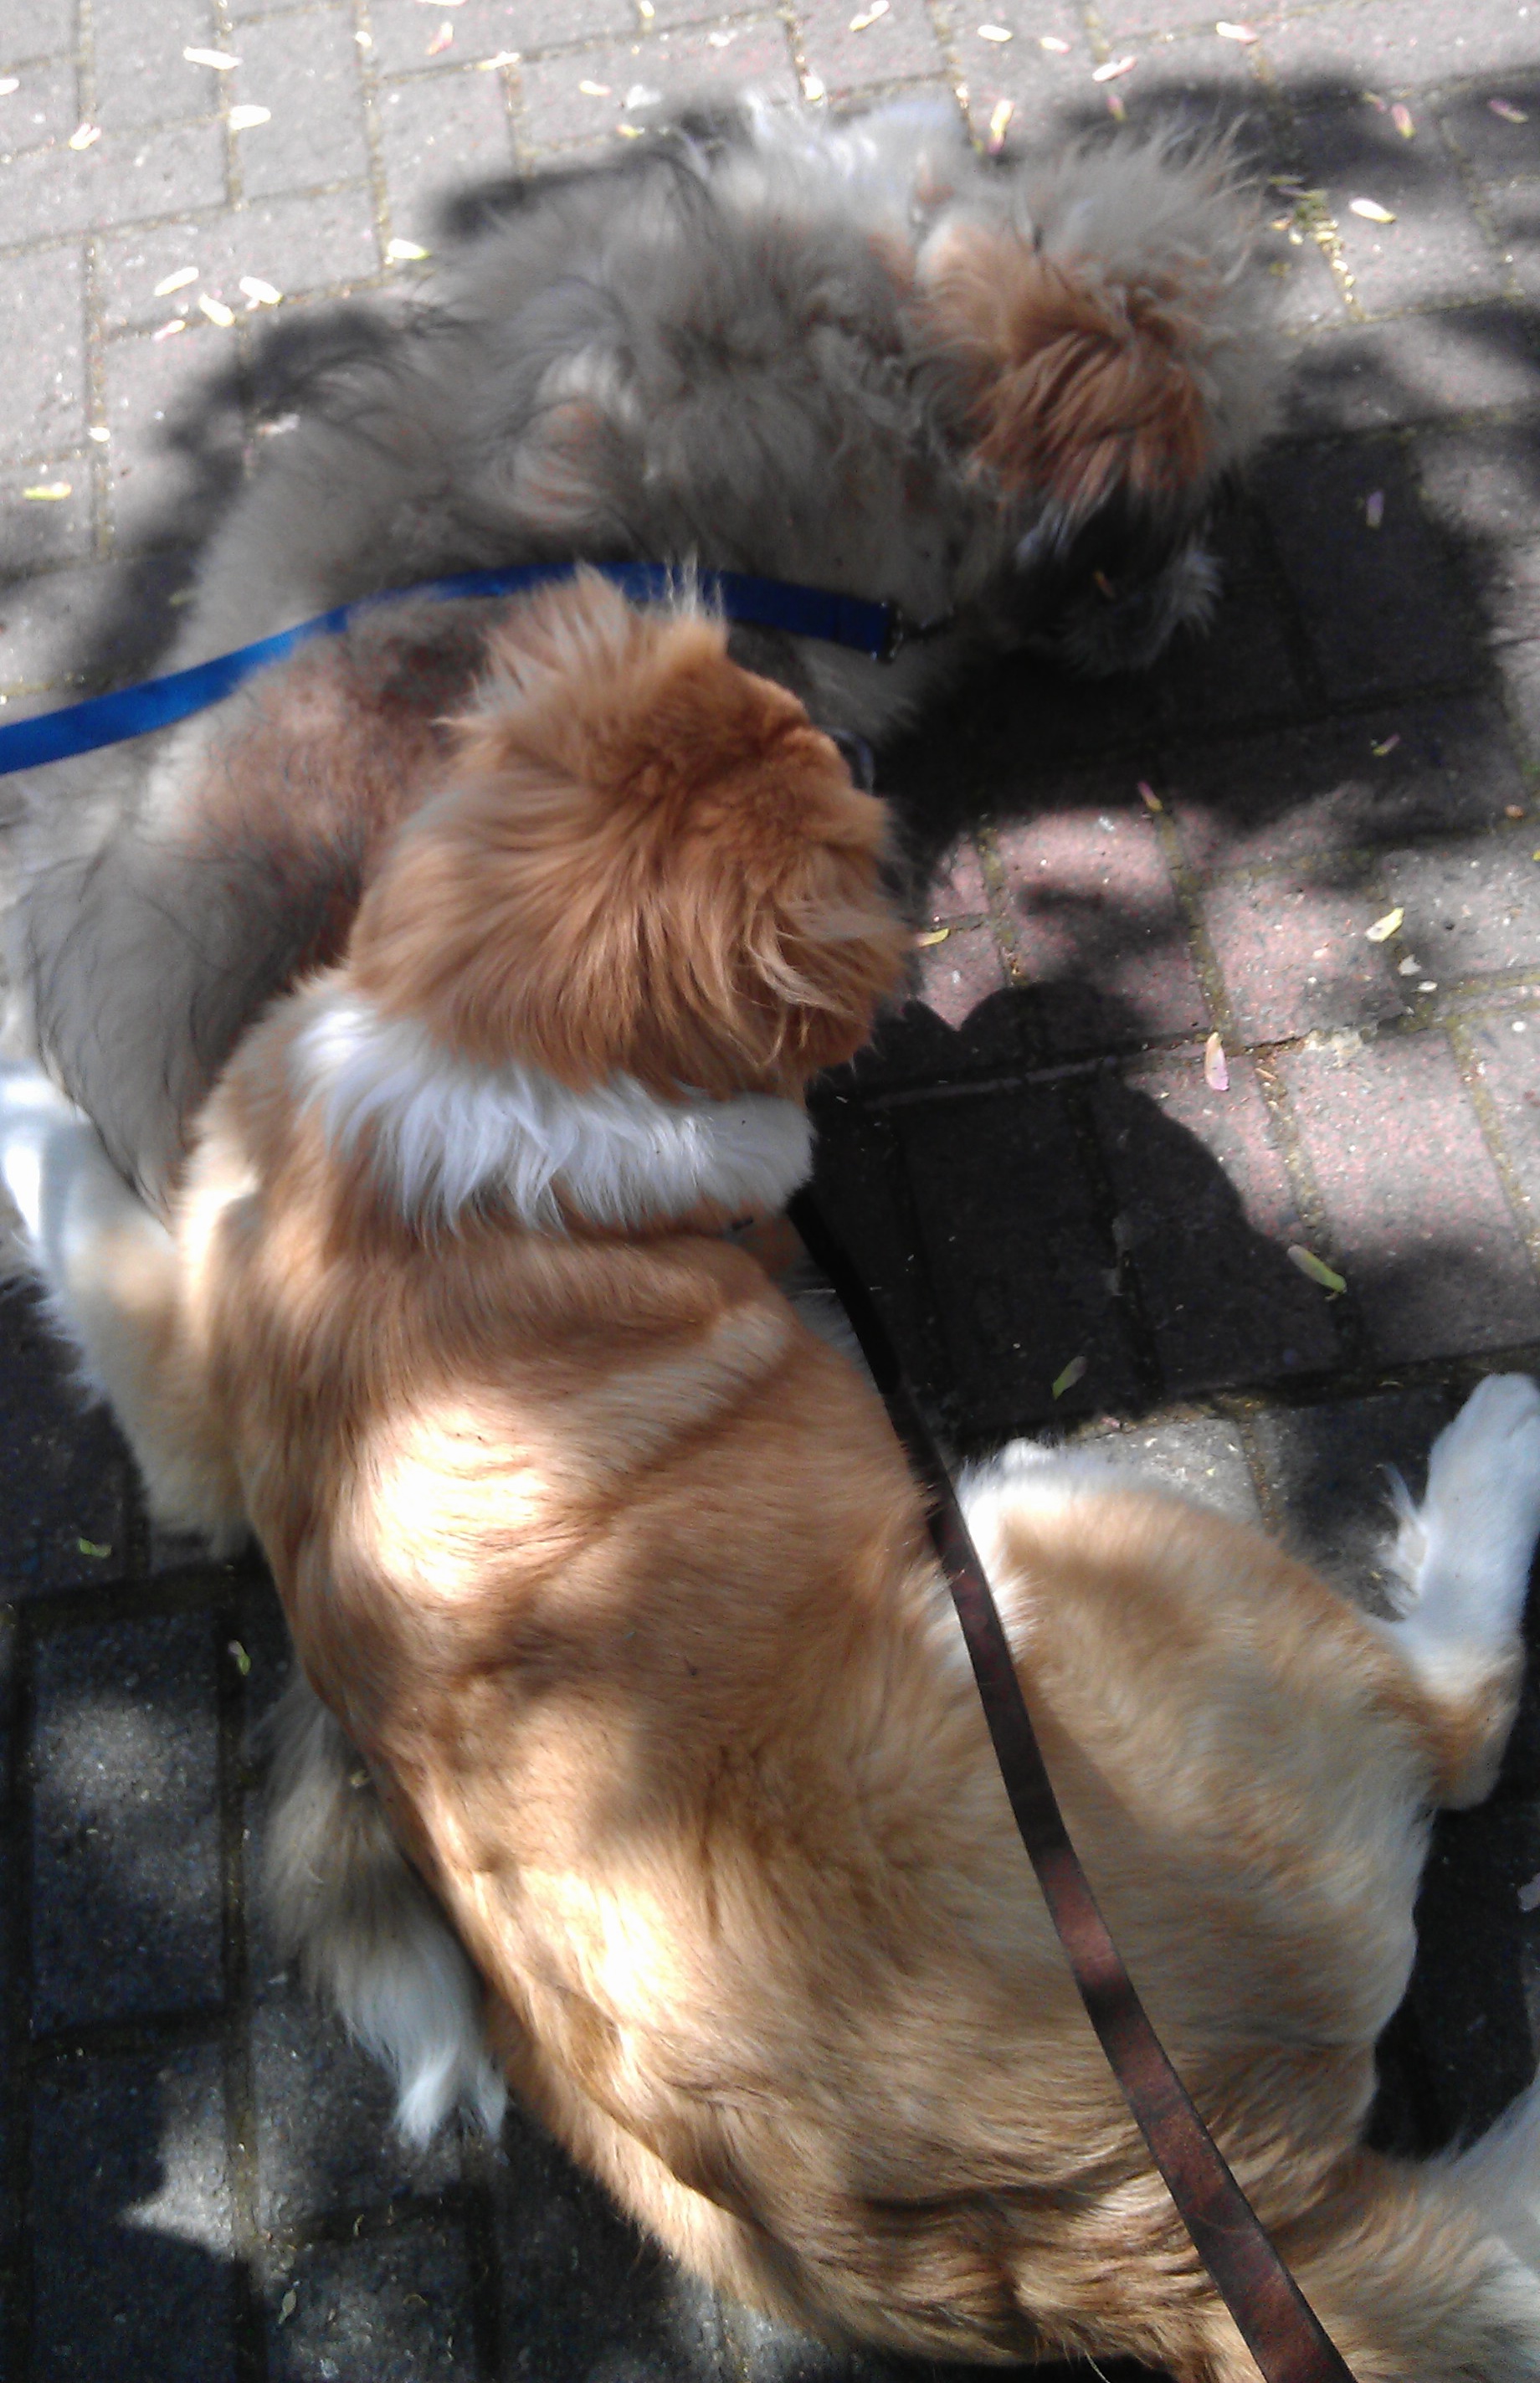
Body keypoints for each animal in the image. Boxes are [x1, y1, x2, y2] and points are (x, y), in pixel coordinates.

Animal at [9, 574, 1540, 2381]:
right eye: (835, 787)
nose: (870, 742)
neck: (490, 1036)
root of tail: (1172, 2223)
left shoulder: (189, 1388)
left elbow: (72, 1202)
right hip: (1061, 1545)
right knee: (1456, 1718)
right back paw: (1494, 1440)